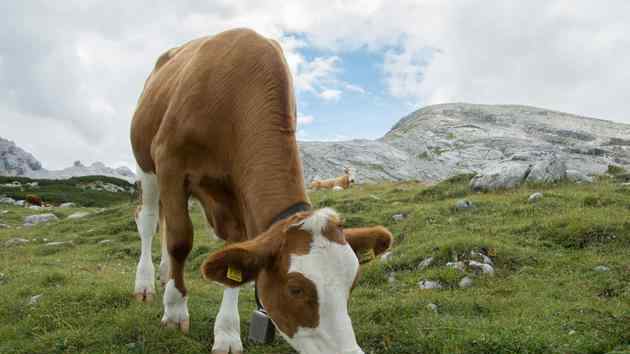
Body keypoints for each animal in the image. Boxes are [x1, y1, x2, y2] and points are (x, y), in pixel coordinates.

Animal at [130, 28, 392, 354]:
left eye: (353, 281)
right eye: (295, 288)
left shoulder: (236, 194)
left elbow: (234, 254)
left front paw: (227, 334)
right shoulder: (170, 163)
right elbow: (181, 241)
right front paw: (176, 311)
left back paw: (166, 272)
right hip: (147, 165)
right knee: (149, 220)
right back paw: (145, 285)